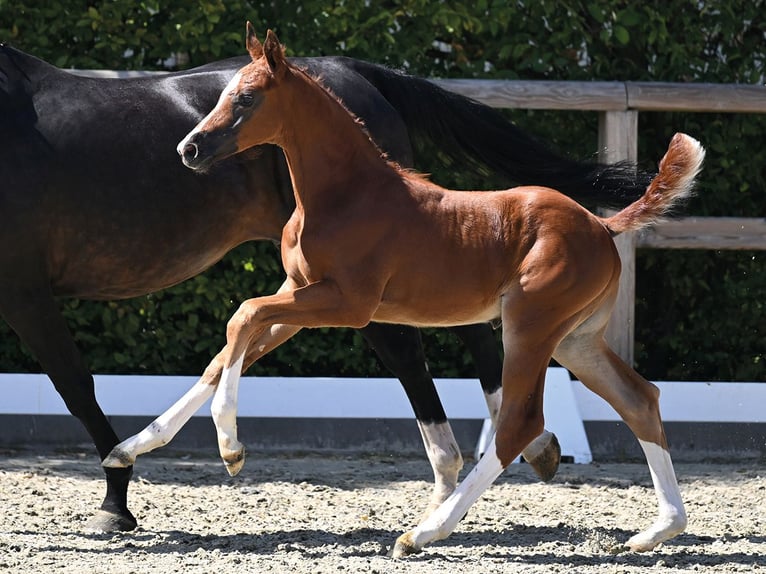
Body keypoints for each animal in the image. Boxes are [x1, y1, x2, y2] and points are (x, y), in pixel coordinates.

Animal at [0, 41, 650, 532]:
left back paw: (466, 474)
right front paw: (138, 456)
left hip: (391, 289)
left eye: (245, 98)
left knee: (424, 349)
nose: (188, 148)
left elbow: (83, 382)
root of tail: (356, 69)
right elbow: (228, 347)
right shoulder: (306, 290)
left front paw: (124, 497)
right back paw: (512, 458)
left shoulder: (24, 291)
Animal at [164, 24, 703, 556]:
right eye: (224, 94)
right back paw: (657, 530)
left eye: (246, 97)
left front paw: (231, 450)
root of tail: (602, 226)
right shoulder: (301, 290)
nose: (189, 149)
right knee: (639, 400)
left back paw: (424, 531)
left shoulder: (349, 303)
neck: (348, 195)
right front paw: (150, 442)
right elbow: (230, 347)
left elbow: (244, 312)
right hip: (576, 339)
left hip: (530, 326)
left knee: (518, 424)